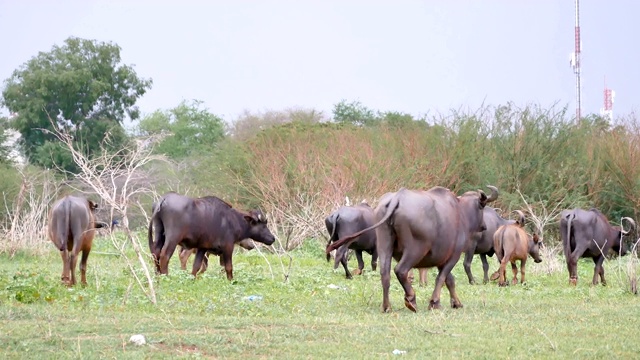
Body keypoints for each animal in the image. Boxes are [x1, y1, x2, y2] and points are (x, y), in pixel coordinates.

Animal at [328, 186, 498, 312]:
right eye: (482, 207)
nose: (484, 226)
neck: (460, 213)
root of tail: (396, 198)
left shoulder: (442, 259)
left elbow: (450, 280)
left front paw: (456, 302)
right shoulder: (453, 255)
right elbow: (441, 278)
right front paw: (435, 302)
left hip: (383, 243)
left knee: (385, 273)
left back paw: (387, 306)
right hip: (415, 249)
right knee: (400, 270)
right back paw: (411, 300)